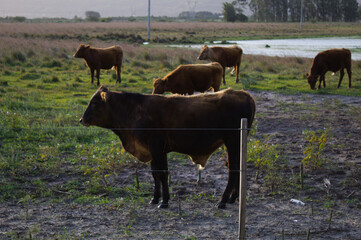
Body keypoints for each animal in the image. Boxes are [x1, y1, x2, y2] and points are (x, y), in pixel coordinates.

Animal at [81, 86, 256, 208]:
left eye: (95, 102)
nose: (81, 119)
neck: (133, 110)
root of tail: (244, 94)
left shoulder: (156, 147)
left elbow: (163, 173)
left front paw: (164, 201)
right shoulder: (154, 150)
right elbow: (155, 174)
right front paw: (155, 198)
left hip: (232, 141)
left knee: (233, 169)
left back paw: (223, 200)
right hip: (236, 144)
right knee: (237, 167)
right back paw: (233, 198)